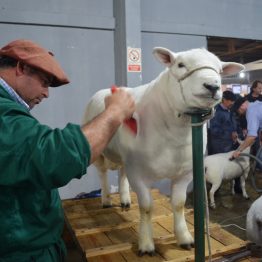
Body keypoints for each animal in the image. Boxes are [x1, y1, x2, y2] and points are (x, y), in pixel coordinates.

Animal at [82, 46, 244, 255]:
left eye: (220, 70)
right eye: (180, 64)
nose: (212, 86)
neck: (175, 132)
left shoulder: (184, 173)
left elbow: (179, 204)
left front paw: (184, 238)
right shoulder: (138, 173)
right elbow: (146, 207)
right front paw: (146, 244)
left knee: (122, 172)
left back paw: (125, 200)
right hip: (99, 153)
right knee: (102, 173)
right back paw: (106, 200)